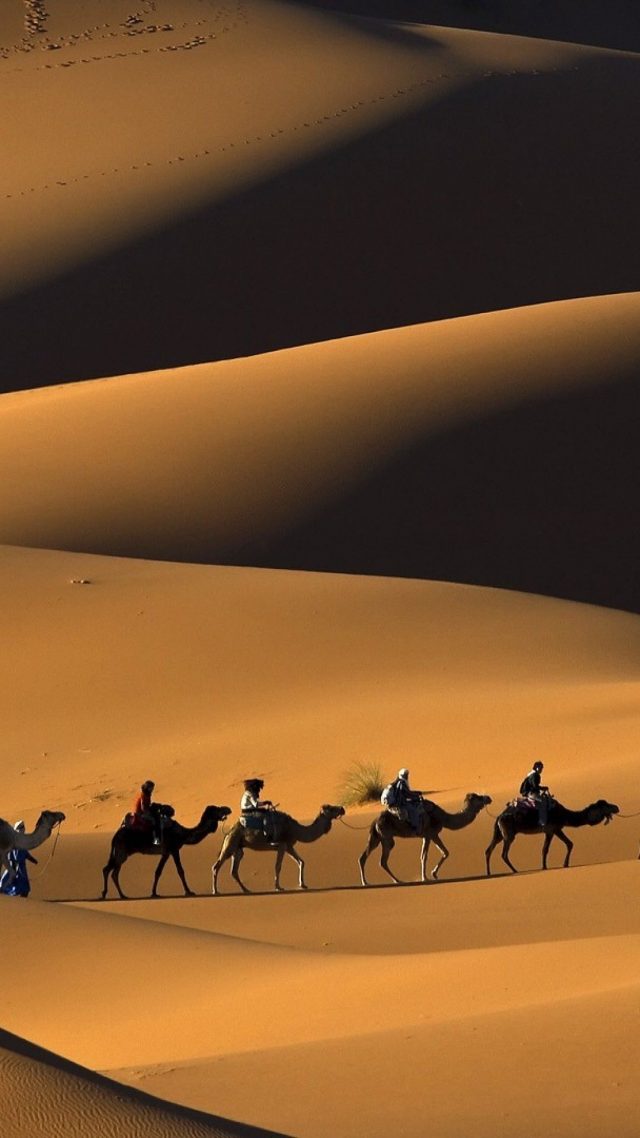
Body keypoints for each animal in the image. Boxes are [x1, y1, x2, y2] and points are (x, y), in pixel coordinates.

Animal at [99, 801, 228, 896]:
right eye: (217, 809)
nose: (227, 809)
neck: (183, 834)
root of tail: (116, 835)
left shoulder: (166, 852)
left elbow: (158, 871)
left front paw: (154, 893)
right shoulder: (173, 849)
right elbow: (179, 871)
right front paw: (189, 891)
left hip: (121, 852)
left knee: (111, 871)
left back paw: (120, 895)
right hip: (121, 851)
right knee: (111, 871)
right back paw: (112, 894)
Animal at [210, 805, 343, 892]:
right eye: (331, 808)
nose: (342, 808)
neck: (295, 829)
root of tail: (229, 830)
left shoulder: (289, 846)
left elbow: (301, 861)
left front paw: (303, 884)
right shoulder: (282, 845)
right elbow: (278, 866)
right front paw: (278, 887)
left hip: (237, 848)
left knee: (234, 870)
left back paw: (246, 890)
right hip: (230, 844)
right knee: (216, 866)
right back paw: (215, 891)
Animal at [359, 792, 487, 887]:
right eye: (478, 797)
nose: (488, 798)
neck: (443, 817)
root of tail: (375, 821)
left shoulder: (433, 835)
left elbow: (445, 852)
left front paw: (434, 874)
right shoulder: (429, 834)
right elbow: (425, 856)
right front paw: (425, 878)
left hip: (376, 837)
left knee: (364, 857)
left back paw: (367, 882)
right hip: (386, 837)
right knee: (382, 860)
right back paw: (396, 881)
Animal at [482, 796, 619, 873]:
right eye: (605, 805)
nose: (616, 807)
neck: (565, 815)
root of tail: (499, 816)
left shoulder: (556, 829)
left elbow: (569, 844)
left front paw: (564, 864)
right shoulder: (551, 830)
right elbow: (545, 849)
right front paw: (545, 867)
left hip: (498, 833)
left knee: (489, 850)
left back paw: (489, 873)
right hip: (509, 833)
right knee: (504, 854)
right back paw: (515, 871)